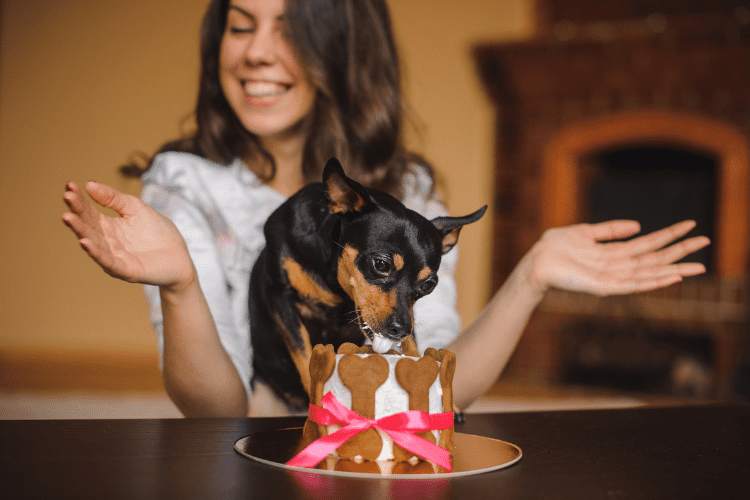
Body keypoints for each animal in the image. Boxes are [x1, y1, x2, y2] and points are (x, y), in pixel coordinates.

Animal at [248, 157, 488, 410]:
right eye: (381, 265)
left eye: (428, 285)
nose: (400, 329)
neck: (335, 284)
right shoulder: (281, 297)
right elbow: (304, 356)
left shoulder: (407, 316)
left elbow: (412, 347)